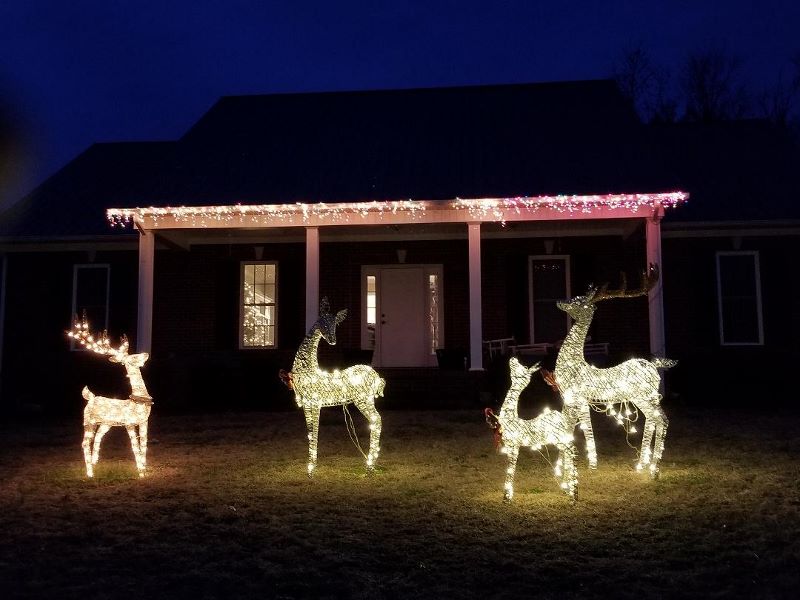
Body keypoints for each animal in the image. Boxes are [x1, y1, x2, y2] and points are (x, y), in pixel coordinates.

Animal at [67, 314, 152, 478]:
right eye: (133, 357)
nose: (146, 353)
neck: (139, 400)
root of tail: (90, 397)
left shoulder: (144, 422)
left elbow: (144, 446)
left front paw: (144, 471)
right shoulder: (129, 422)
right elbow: (135, 447)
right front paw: (140, 472)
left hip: (105, 423)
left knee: (97, 438)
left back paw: (94, 463)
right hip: (88, 421)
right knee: (85, 443)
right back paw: (90, 473)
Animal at [289, 298, 385, 477]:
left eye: (335, 324)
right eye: (324, 322)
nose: (332, 340)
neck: (308, 369)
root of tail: (377, 377)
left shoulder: (315, 403)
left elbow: (315, 431)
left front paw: (311, 469)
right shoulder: (306, 404)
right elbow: (310, 432)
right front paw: (310, 466)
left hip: (363, 400)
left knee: (376, 420)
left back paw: (369, 466)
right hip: (368, 400)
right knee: (377, 420)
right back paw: (371, 464)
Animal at [486, 357, 577, 502]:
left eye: (522, 367)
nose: (513, 358)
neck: (510, 418)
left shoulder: (515, 445)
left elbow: (511, 468)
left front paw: (507, 498)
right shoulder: (509, 446)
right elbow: (509, 467)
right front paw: (506, 495)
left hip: (562, 439)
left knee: (571, 453)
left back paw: (573, 495)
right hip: (560, 440)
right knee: (566, 454)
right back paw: (567, 488)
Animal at [552, 264, 676, 478]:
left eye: (578, 300)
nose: (560, 300)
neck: (573, 362)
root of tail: (655, 366)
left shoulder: (573, 398)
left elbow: (568, 428)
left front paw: (565, 470)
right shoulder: (577, 401)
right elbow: (584, 428)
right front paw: (589, 465)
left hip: (644, 396)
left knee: (662, 419)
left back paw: (654, 470)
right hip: (645, 397)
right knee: (653, 419)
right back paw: (643, 464)